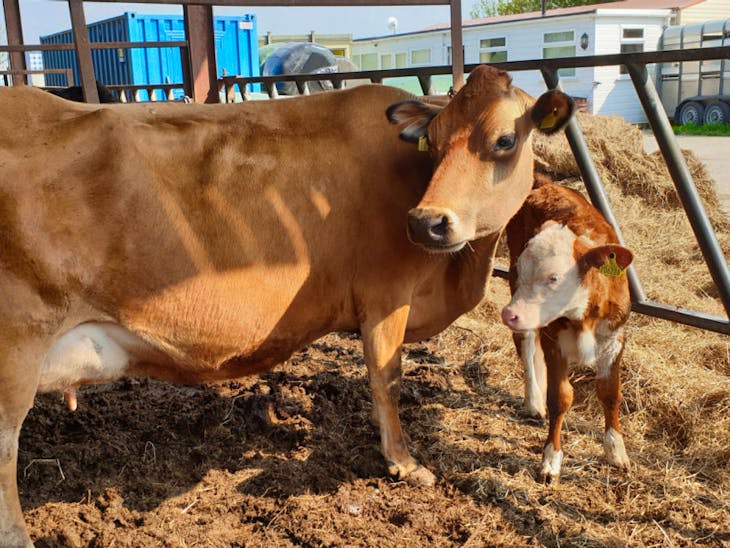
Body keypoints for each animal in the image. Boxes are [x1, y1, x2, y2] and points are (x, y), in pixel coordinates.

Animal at [0, 65, 573, 545]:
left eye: (504, 140)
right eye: (432, 141)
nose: (426, 222)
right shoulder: (385, 295)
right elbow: (386, 378)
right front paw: (403, 463)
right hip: (16, 347)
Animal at [501, 177, 633, 483]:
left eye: (554, 277)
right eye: (521, 268)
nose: (508, 314)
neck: (583, 314)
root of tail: (548, 185)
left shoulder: (614, 338)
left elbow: (610, 392)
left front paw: (616, 451)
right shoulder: (555, 342)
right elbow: (560, 398)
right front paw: (551, 460)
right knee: (526, 344)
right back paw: (533, 401)